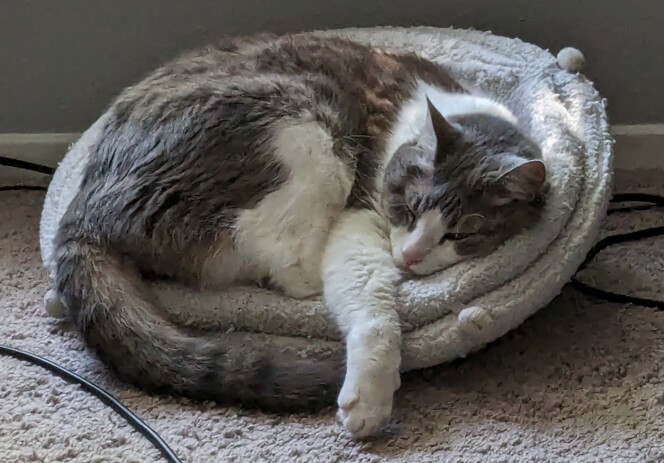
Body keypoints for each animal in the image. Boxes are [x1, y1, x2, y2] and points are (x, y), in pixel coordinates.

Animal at [52, 32, 548, 438]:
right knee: (284, 265)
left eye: (459, 234)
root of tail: (85, 206)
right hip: (308, 130)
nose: (409, 256)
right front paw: (369, 399)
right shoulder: (357, 216)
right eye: (409, 209)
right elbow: (370, 304)